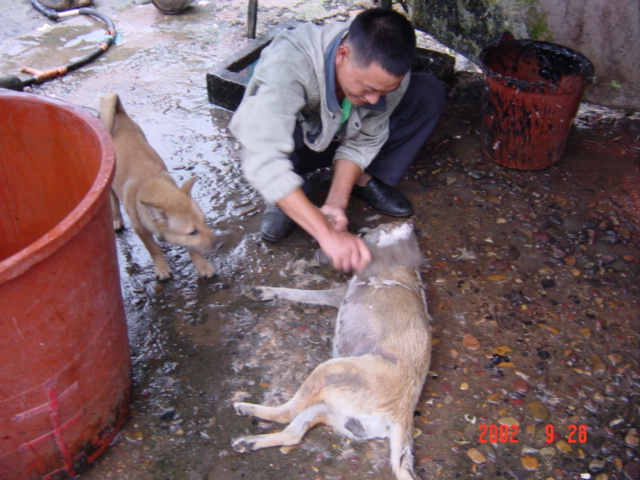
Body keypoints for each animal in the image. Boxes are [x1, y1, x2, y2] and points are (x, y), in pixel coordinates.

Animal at [99, 94, 221, 280]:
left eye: (205, 222)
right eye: (193, 232)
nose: (219, 244)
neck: (149, 182)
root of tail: (118, 112)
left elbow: (193, 249)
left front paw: (202, 265)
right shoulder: (141, 230)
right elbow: (154, 249)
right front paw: (161, 267)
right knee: (113, 200)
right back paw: (117, 219)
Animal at [232, 221, 432, 480]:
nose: (410, 224)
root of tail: (401, 417)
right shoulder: (338, 294)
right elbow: (299, 293)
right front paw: (264, 291)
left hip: (329, 370)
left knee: (288, 412)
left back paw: (246, 412)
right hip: (326, 407)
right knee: (293, 434)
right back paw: (249, 439)